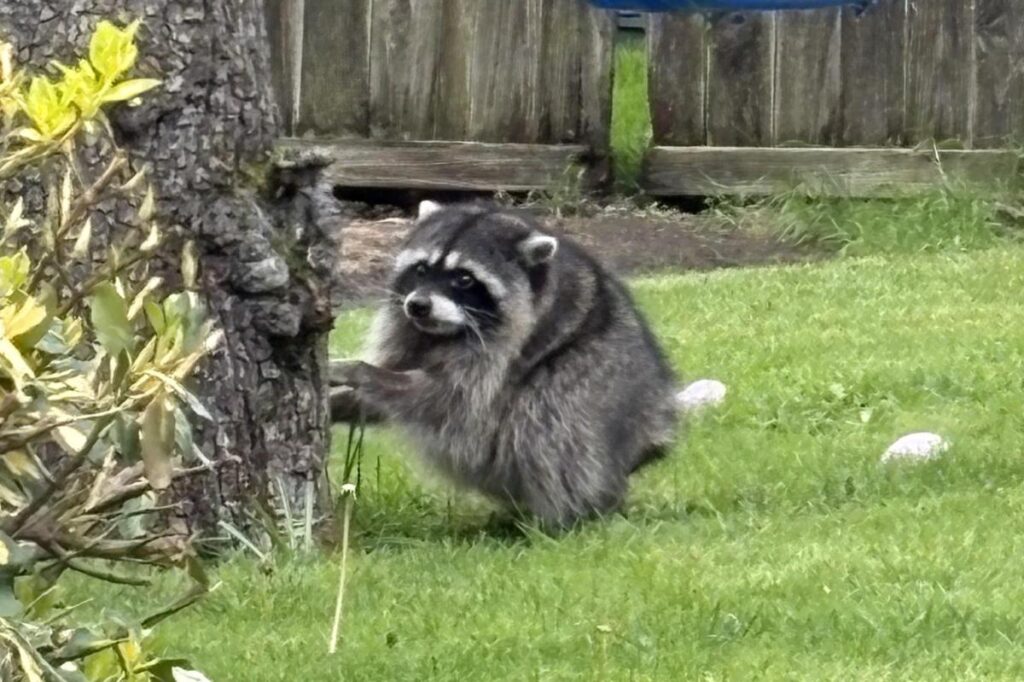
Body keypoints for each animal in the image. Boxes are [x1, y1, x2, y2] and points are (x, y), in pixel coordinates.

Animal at [332, 201, 679, 527]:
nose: (418, 306)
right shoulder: (407, 331)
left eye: (464, 278)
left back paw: (565, 516)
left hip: (599, 385)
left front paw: (360, 370)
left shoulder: (502, 351)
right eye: (420, 269)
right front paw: (341, 401)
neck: (446, 332)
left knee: (548, 415)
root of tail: (651, 433)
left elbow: (445, 400)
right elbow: (384, 395)